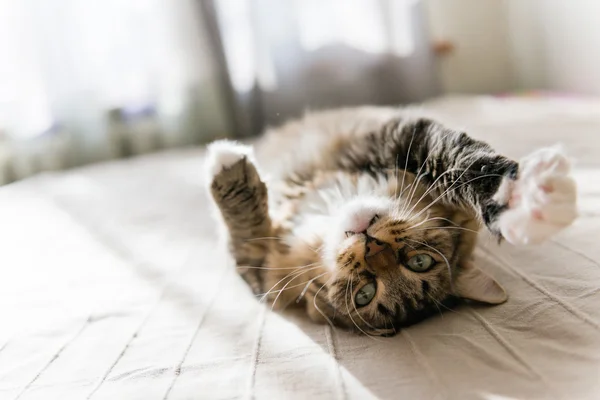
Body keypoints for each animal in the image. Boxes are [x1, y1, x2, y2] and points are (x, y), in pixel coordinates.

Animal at [203, 107, 576, 338]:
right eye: (420, 261)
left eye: (364, 295)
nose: (371, 246)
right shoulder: (397, 138)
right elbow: (463, 161)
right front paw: (527, 198)